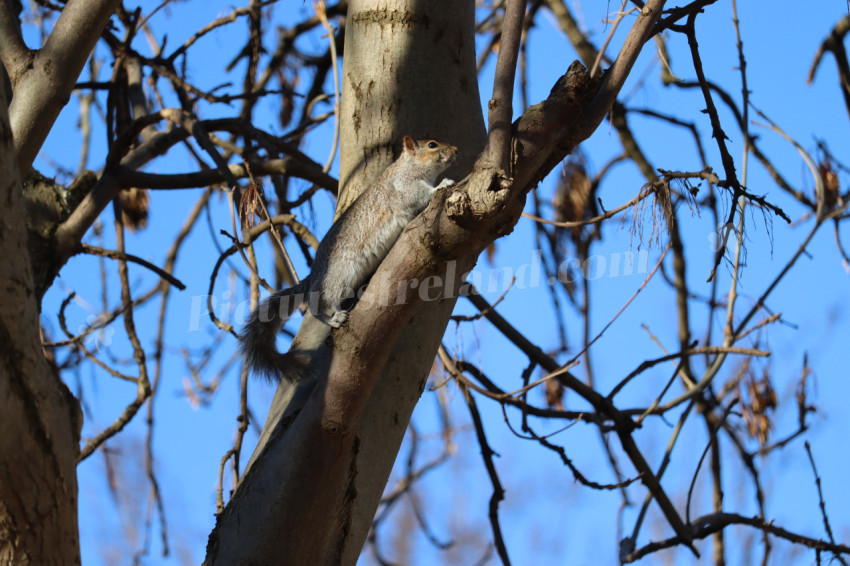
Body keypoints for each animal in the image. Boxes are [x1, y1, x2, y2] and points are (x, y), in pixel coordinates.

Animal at [239, 136, 458, 381]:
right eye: (432, 145)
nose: (456, 150)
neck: (407, 166)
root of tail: (314, 274)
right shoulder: (404, 187)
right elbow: (418, 195)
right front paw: (443, 184)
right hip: (339, 276)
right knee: (318, 304)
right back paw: (332, 318)